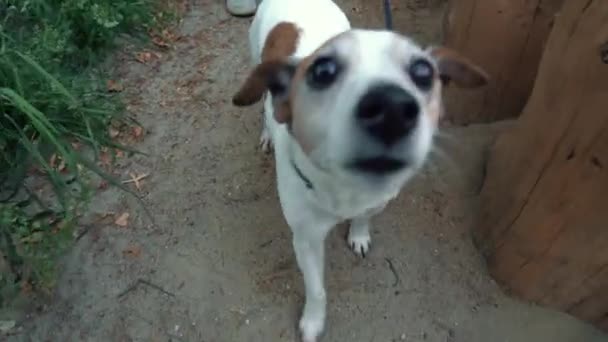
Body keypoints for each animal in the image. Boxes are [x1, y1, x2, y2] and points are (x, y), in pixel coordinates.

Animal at [233, 0, 490, 340]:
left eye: (423, 72)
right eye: (323, 71)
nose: (392, 108)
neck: (347, 190)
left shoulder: (377, 201)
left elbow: (364, 217)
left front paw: (358, 234)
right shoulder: (306, 239)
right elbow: (317, 290)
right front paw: (313, 322)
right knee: (264, 106)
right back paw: (266, 133)